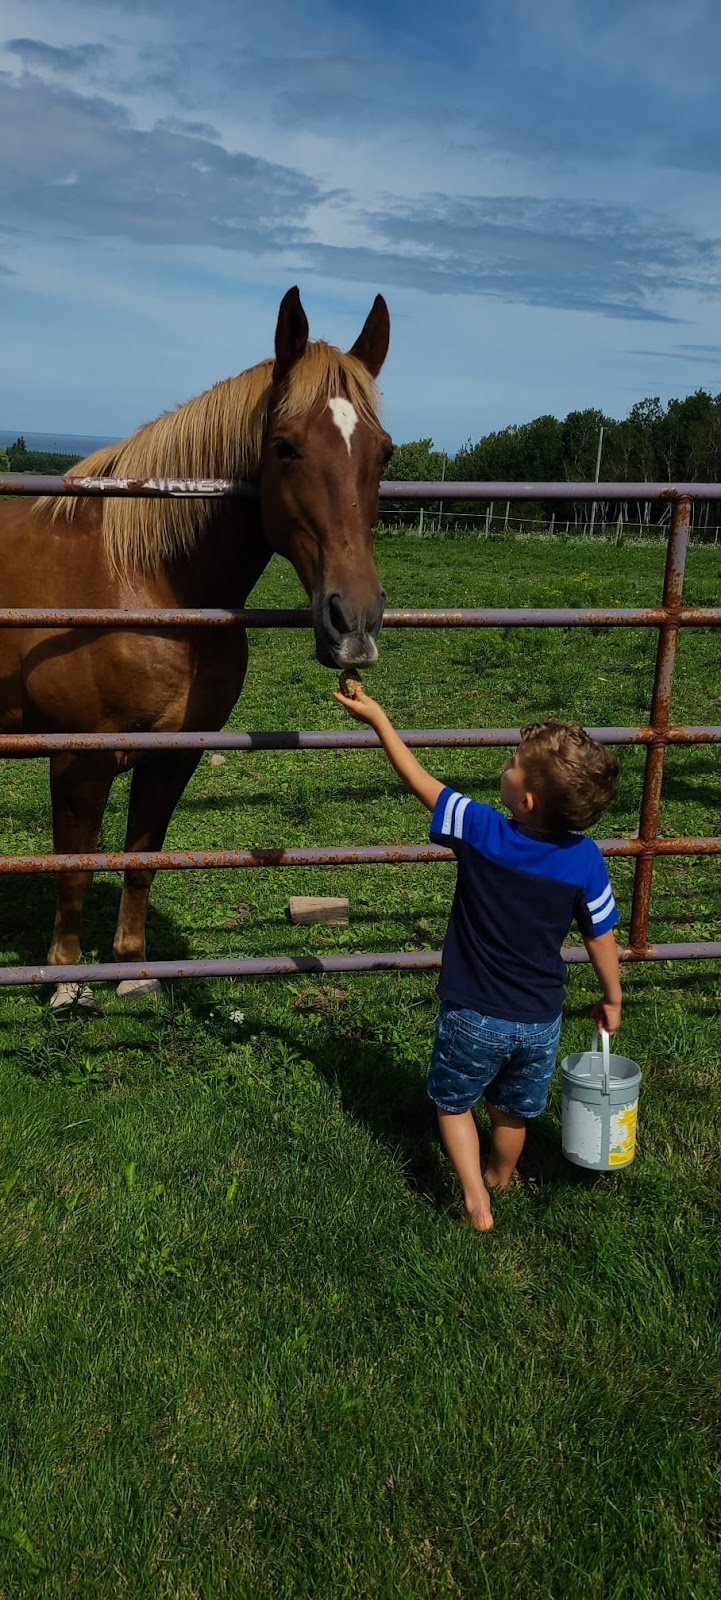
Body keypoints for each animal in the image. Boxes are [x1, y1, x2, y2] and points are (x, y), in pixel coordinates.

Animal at [0, 283, 391, 1004]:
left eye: (385, 453)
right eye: (285, 447)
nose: (353, 622)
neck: (144, 579)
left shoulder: (173, 755)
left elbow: (142, 860)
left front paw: (133, 973)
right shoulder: (78, 760)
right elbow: (74, 867)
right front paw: (67, 981)